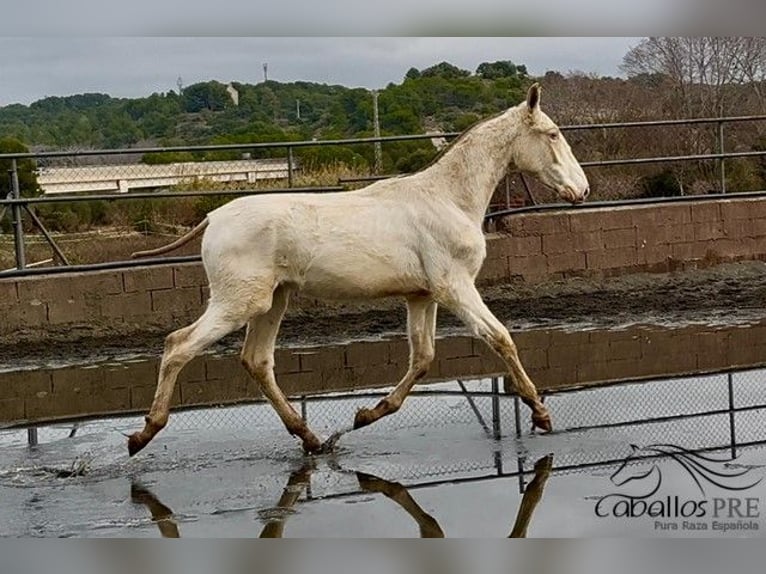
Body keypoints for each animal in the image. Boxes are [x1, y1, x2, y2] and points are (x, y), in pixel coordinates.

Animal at [126, 83, 590, 457]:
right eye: (552, 134)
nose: (582, 190)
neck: (449, 199)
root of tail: (212, 218)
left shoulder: (422, 296)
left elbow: (423, 358)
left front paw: (365, 415)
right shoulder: (455, 288)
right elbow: (500, 338)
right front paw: (541, 414)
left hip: (273, 301)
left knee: (256, 360)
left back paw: (312, 439)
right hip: (240, 302)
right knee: (178, 345)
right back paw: (142, 435)